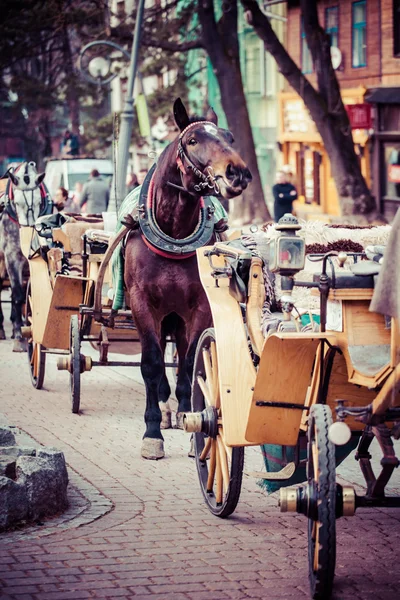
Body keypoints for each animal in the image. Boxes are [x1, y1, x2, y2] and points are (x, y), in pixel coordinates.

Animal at [123, 97, 252, 460]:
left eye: (229, 137)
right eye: (193, 140)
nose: (237, 172)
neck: (174, 233)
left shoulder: (199, 306)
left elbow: (191, 361)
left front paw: (192, 417)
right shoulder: (141, 303)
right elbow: (151, 364)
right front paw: (152, 431)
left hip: (177, 313)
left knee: (181, 351)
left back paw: (180, 408)